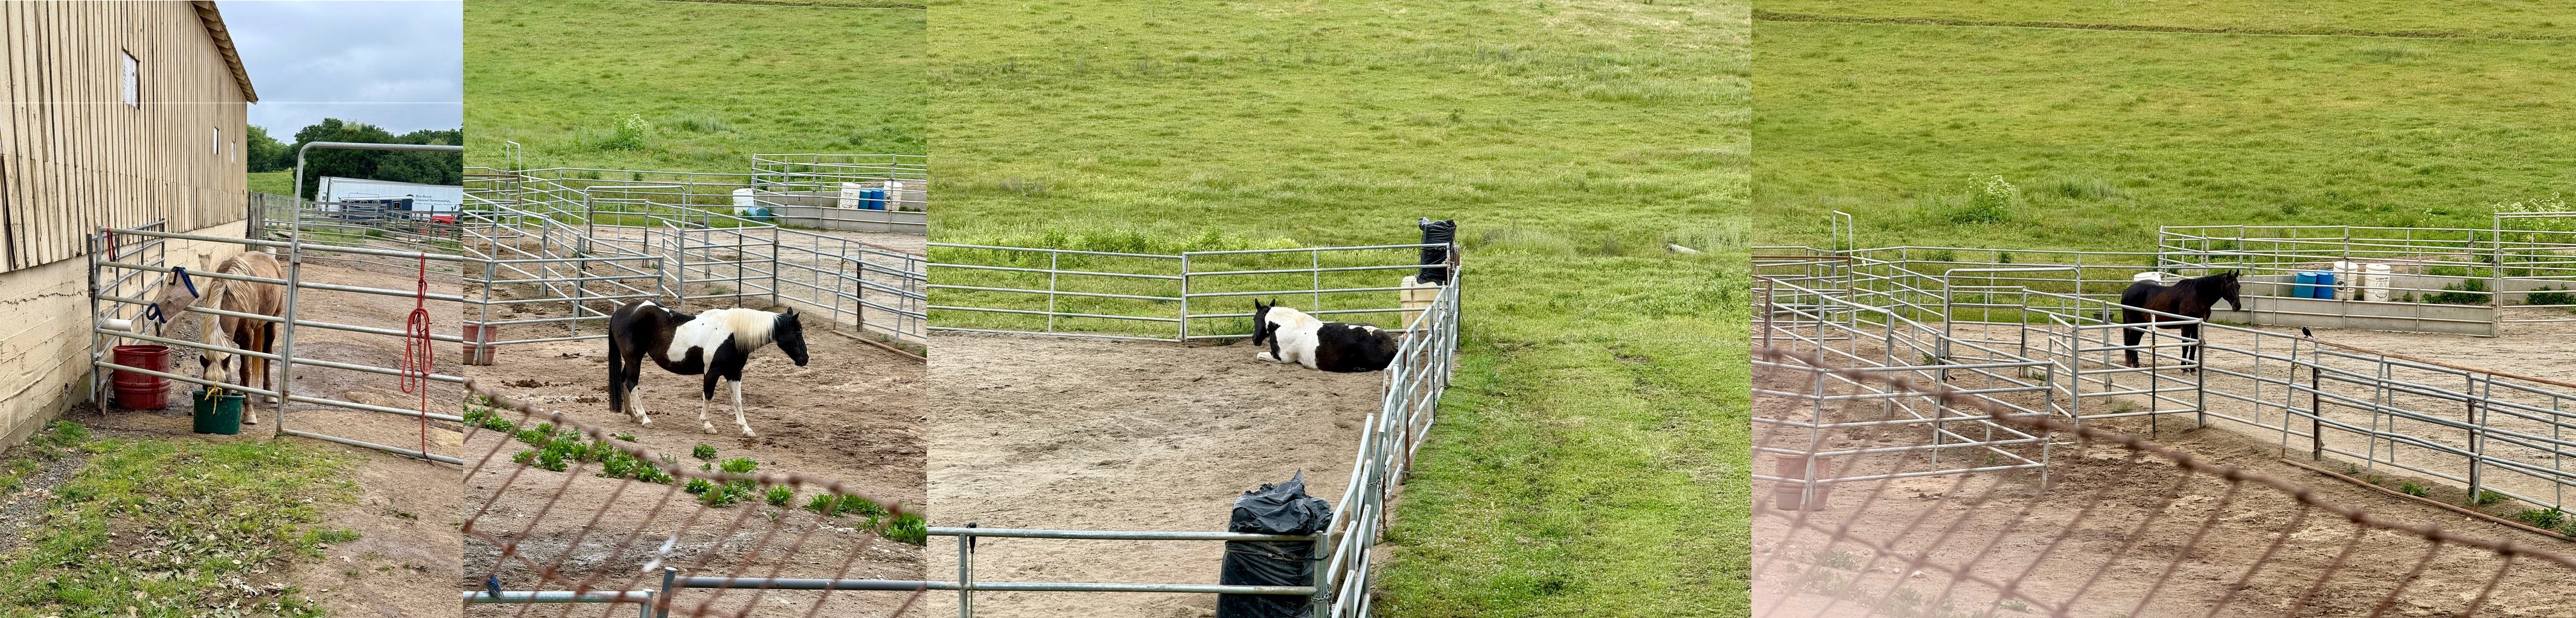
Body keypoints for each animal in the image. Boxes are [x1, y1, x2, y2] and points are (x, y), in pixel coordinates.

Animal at [191, 252, 287, 423]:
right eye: (205, 387)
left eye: (226, 387)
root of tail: (269, 258)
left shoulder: (248, 338)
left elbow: (246, 372)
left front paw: (249, 413)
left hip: (272, 321)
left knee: (267, 355)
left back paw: (269, 393)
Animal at [605, 300, 809, 436]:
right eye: (798, 331)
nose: (805, 359)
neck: (733, 334)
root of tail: (622, 311)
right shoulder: (711, 372)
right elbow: (708, 396)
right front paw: (707, 425)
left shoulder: (735, 373)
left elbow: (737, 401)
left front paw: (746, 428)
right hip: (634, 359)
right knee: (632, 383)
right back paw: (645, 418)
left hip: (631, 360)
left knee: (624, 380)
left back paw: (633, 415)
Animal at [1249, 299, 1400, 373]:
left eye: (1254, 318)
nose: (1255, 339)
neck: (1285, 324)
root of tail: (1392, 347)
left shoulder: (1282, 358)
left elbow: (1258, 356)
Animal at [2120, 271, 2242, 371]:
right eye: (2229, 286)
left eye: (2238, 286)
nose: (2238, 306)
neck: (2197, 296)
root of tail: (2127, 291)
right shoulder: (2185, 326)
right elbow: (2185, 346)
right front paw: (2184, 368)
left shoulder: (2195, 326)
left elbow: (2193, 346)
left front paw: (2192, 368)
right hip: (2136, 324)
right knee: (2131, 342)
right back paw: (2135, 364)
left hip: (2142, 325)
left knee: (2134, 342)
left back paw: (2135, 363)